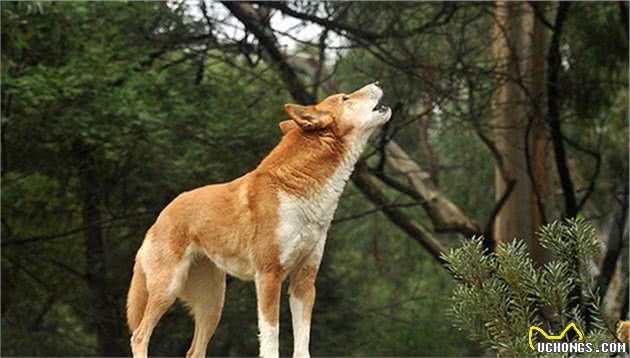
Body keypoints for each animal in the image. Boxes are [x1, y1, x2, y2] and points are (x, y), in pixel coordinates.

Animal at [126, 82, 392, 356]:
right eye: (345, 98)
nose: (377, 84)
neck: (296, 192)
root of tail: (160, 216)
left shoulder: (304, 282)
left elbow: (302, 346)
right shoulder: (268, 276)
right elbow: (271, 340)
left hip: (213, 303)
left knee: (193, 350)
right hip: (168, 288)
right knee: (139, 336)